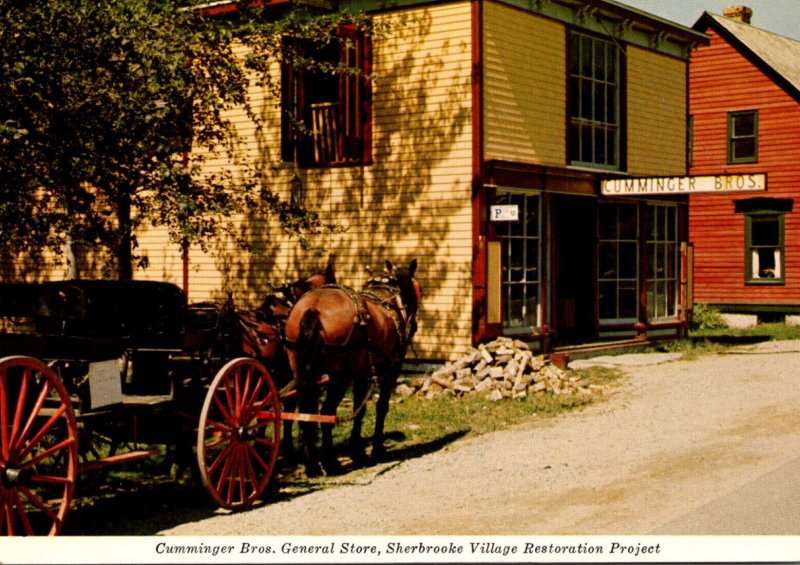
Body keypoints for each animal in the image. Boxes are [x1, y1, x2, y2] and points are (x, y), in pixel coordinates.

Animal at [284, 260, 422, 476]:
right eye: (418, 290)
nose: (414, 325)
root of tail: (313, 308)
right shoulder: (390, 371)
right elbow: (381, 407)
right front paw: (376, 448)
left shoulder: (361, 374)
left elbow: (360, 409)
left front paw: (357, 451)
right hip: (340, 378)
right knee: (327, 412)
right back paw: (330, 461)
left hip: (302, 373)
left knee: (306, 414)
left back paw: (312, 464)